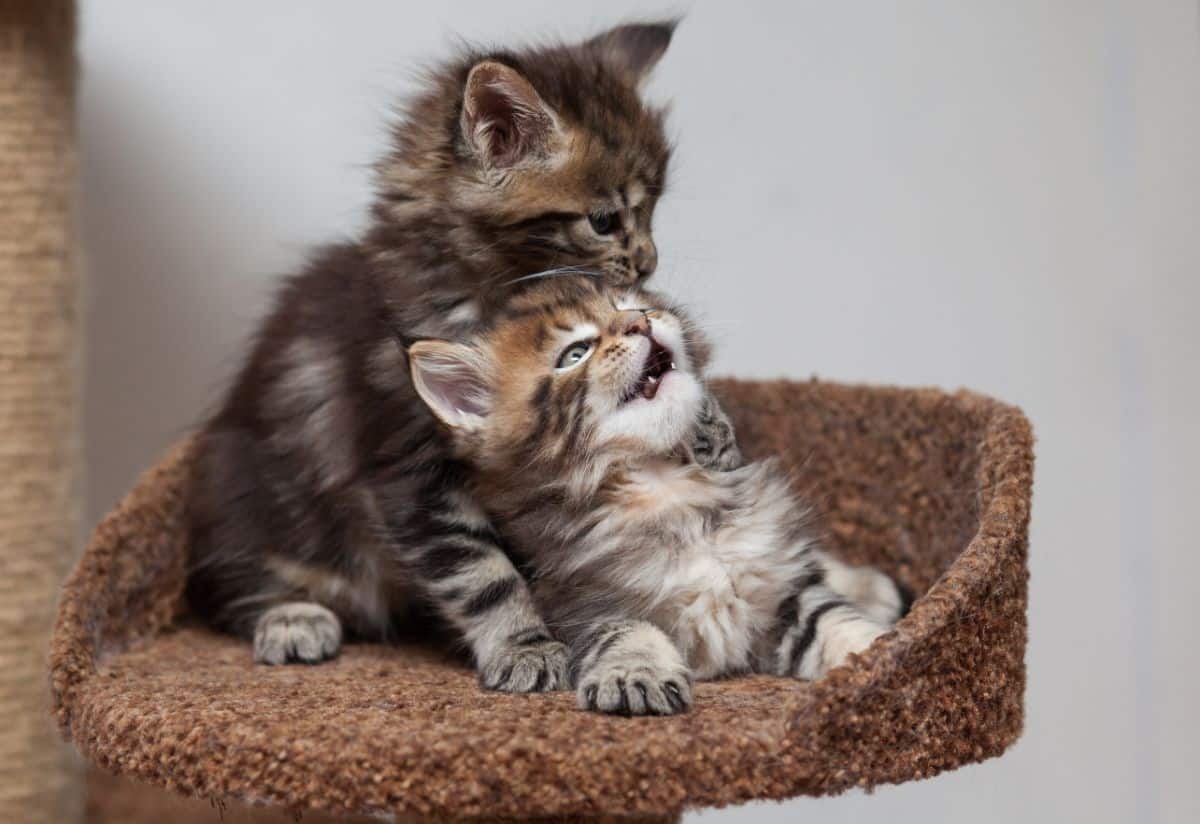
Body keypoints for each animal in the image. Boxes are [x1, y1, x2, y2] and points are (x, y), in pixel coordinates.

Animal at [186, 20, 739, 695]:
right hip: (245, 494)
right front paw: (526, 647)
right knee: (236, 585)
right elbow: (483, 573)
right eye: (605, 220)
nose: (649, 262)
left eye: (653, 209)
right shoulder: (408, 463)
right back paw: (292, 618)